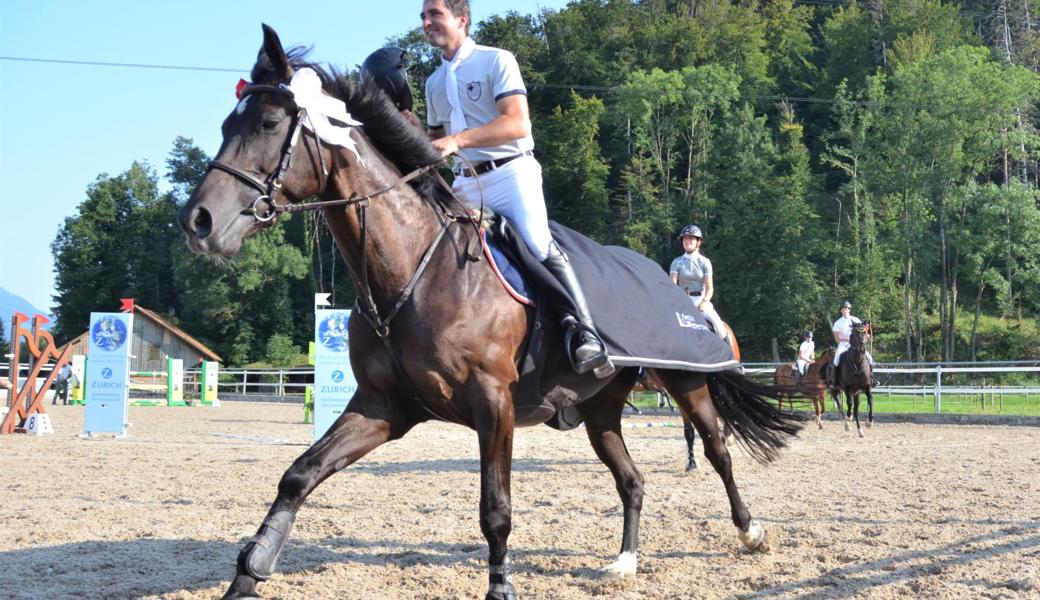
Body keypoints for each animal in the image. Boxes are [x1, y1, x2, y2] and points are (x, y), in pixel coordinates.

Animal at [180, 26, 802, 598]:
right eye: (226, 126)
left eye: (266, 124)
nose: (197, 222)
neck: (415, 268)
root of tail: (659, 277)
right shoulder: (383, 406)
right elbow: (298, 475)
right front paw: (250, 571)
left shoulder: (493, 402)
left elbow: (495, 511)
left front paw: (500, 587)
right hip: (600, 408)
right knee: (631, 479)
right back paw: (624, 562)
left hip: (685, 382)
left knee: (718, 451)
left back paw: (751, 533)